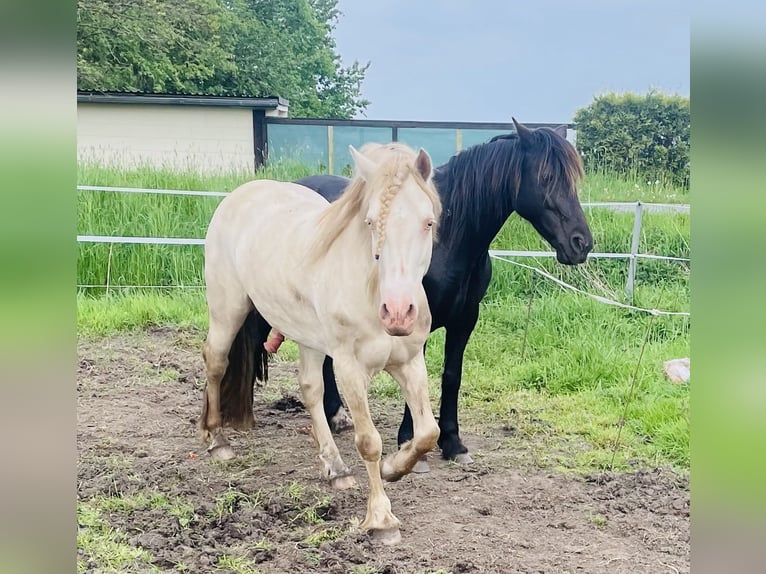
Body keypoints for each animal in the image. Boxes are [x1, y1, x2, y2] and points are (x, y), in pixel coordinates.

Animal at [201, 143, 444, 544]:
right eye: (370, 222)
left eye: (428, 222)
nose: (397, 313)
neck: (369, 290)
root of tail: (241, 194)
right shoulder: (349, 368)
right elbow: (369, 442)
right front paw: (382, 520)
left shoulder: (409, 363)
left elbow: (428, 433)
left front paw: (395, 467)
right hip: (227, 310)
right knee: (216, 362)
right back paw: (217, 440)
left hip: (309, 338)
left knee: (311, 389)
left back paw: (336, 468)